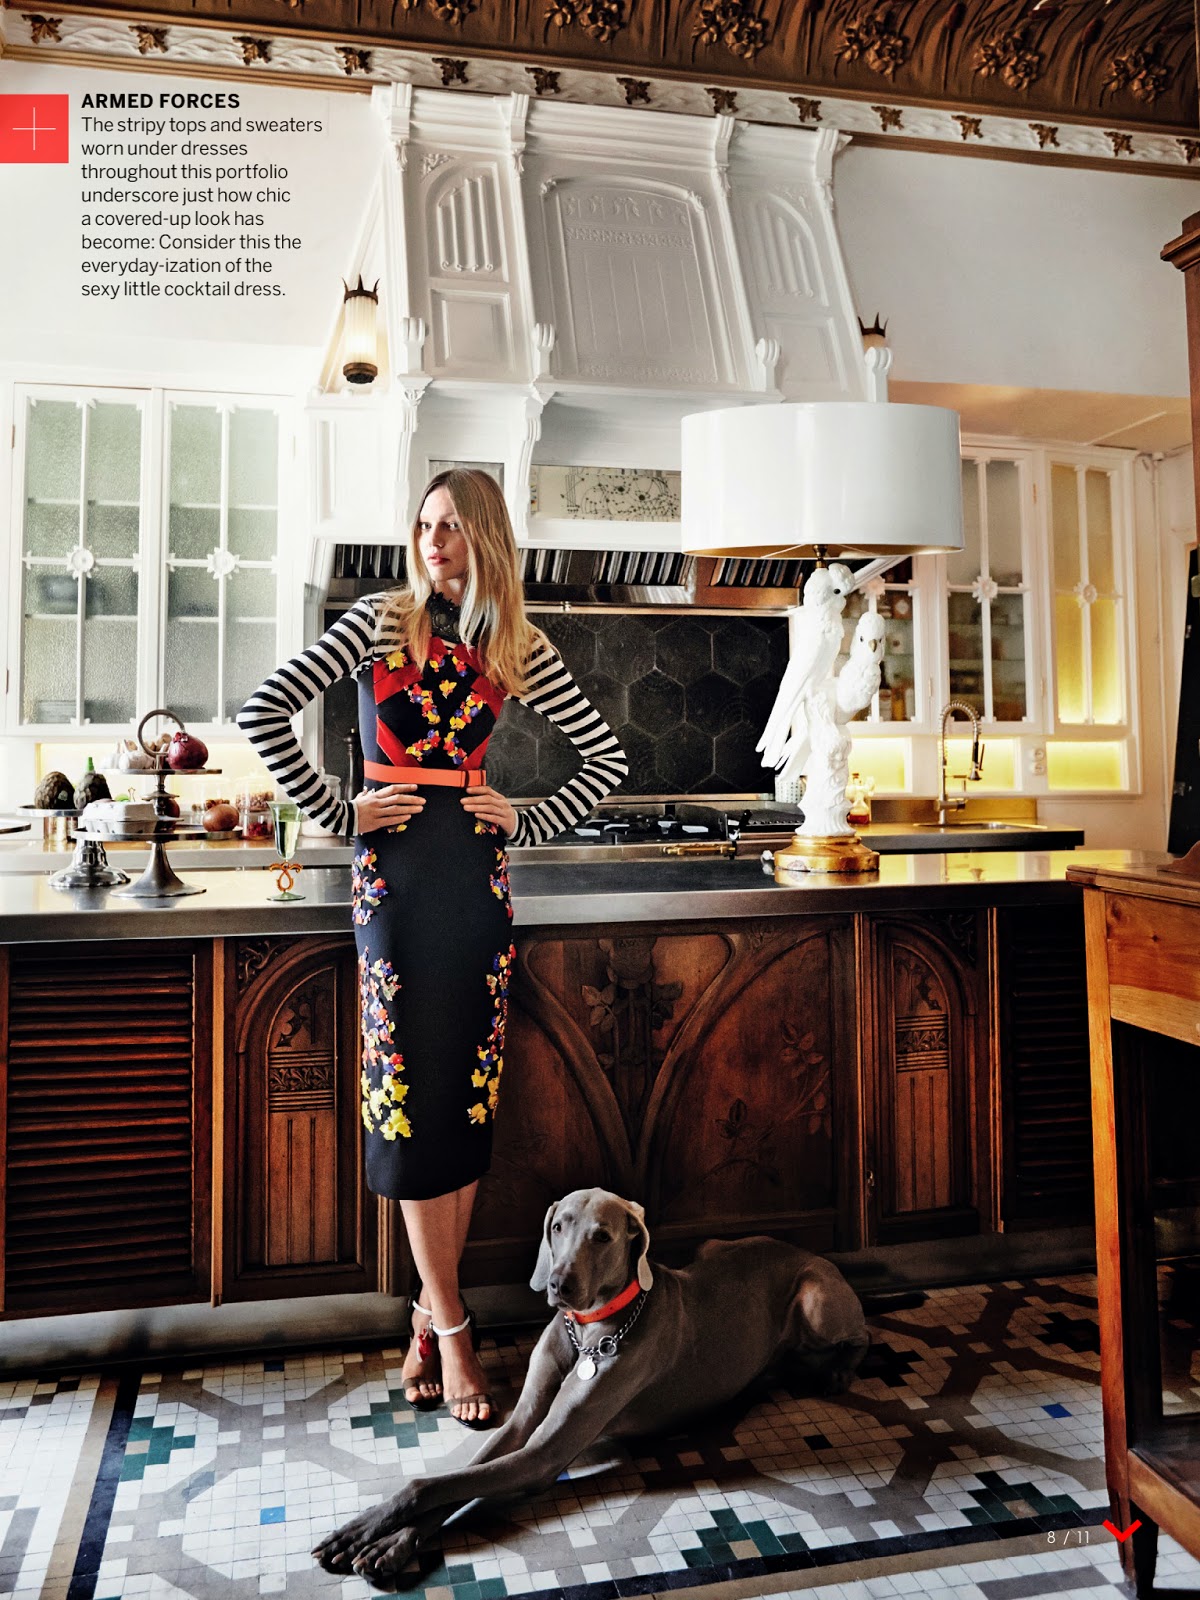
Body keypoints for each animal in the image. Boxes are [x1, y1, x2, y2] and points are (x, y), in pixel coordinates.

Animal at [314, 1187, 869, 1584]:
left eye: (602, 1236)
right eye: (558, 1227)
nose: (558, 1284)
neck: (586, 1330)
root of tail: (804, 1249)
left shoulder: (542, 1455)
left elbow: (436, 1485)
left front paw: (364, 1531)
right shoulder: (520, 1425)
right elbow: (461, 1476)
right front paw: (389, 1541)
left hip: (817, 1298)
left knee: (861, 1334)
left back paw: (837, 1370)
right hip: (714, 1249)